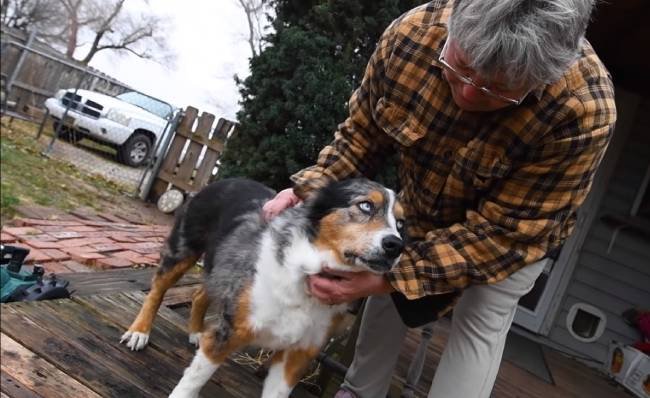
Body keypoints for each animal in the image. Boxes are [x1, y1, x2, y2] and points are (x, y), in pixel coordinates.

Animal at [119, 178, 402, 398]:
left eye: (400, 223)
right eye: (365, 205)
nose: (396, 246)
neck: (304, 276)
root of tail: (228, 178)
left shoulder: (297, 356)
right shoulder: (230, 332)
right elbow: (192, 382)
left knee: (200, 294)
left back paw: (196, 332)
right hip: (184, 249)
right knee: (158, 289)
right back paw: (139, 331)